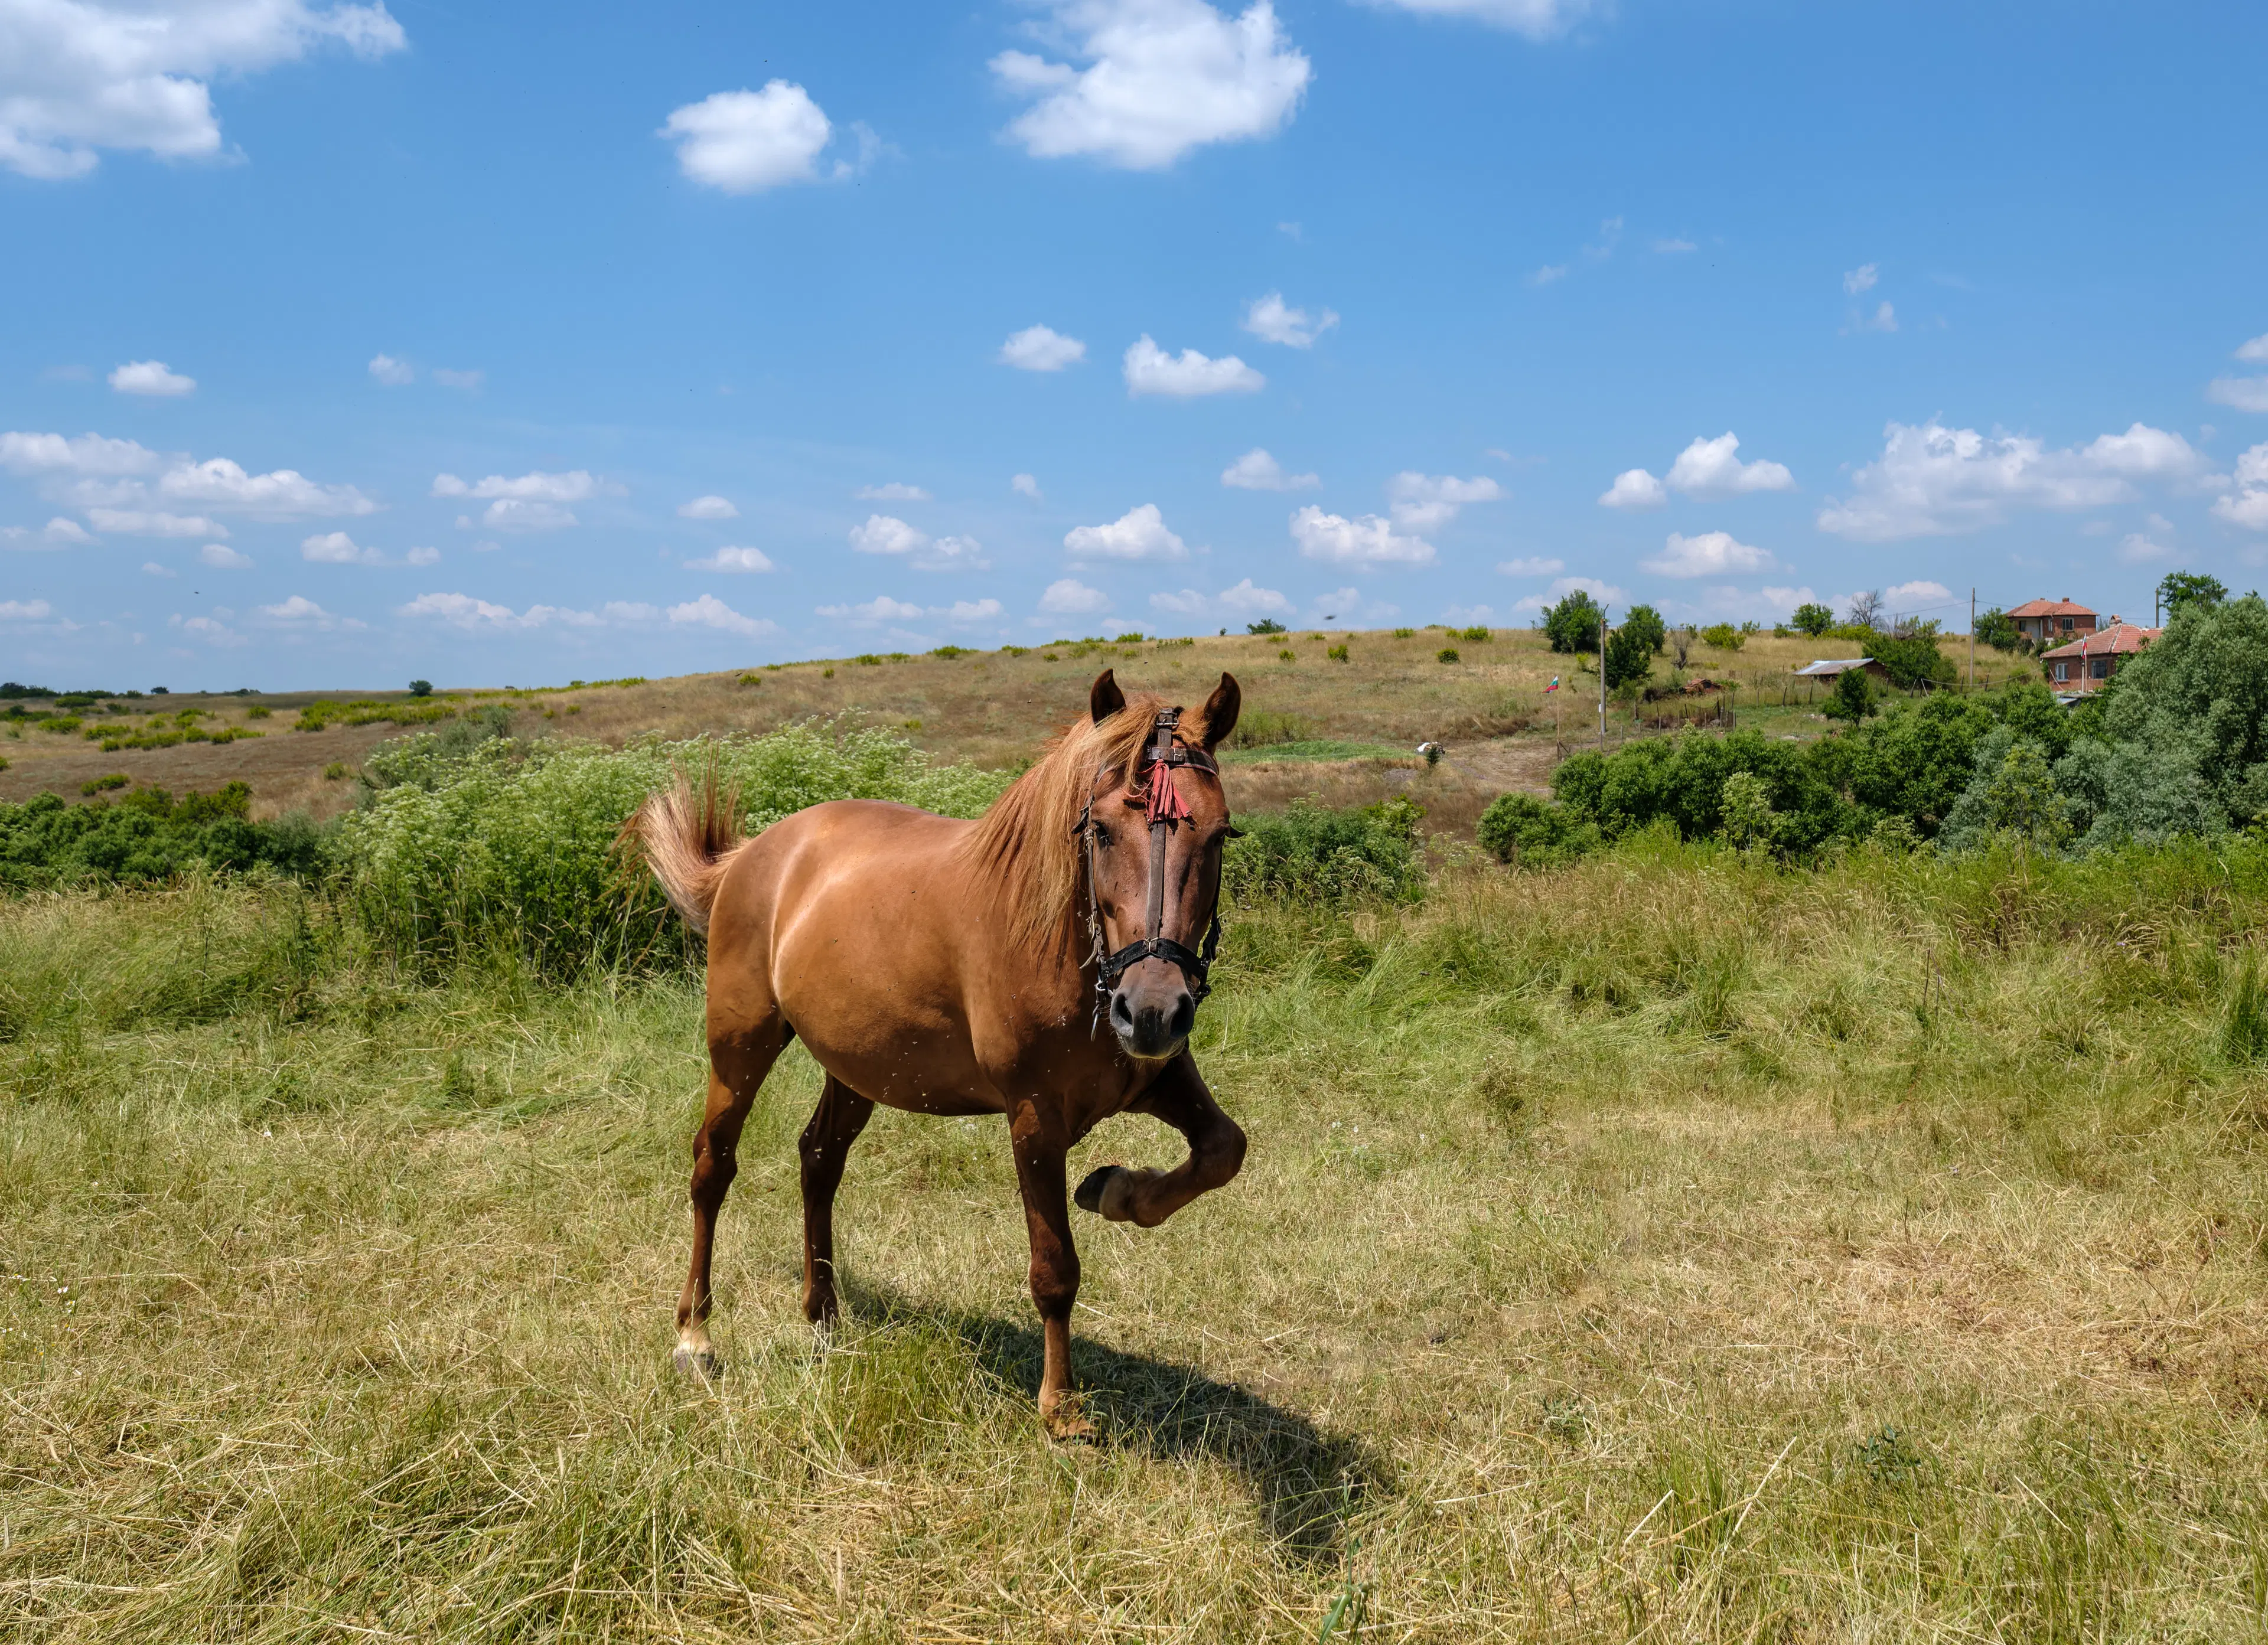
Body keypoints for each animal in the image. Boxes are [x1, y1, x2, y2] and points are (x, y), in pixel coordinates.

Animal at [630, 666, 1252, 1432]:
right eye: (1102, 830)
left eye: (1221, 834)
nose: (1155, 1009)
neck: (1062, 941)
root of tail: (751, 855)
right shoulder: (1034, 1119)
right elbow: (1055, 1267)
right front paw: (1060, 1406)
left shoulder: (1158, 1078)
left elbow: (1224, 1148)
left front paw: (1115, 1190)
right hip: (740, 1045)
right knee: (712, 1168)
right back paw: (696, 1334)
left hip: (854, 1067)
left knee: (818, 1160)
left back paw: (824, 1318)